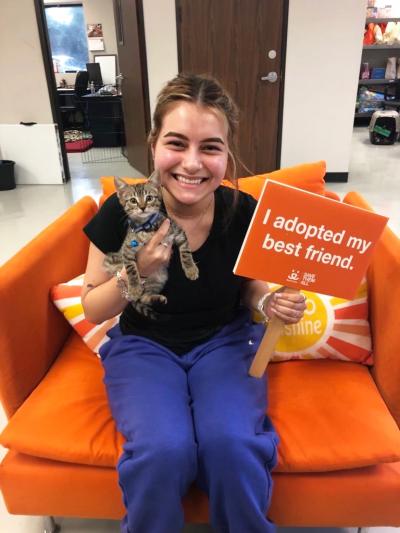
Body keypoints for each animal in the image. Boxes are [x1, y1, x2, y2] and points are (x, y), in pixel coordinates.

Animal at [101, 171, 198, 316]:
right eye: (133, 201)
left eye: (149, 198)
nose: (142, 207)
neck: (147, 227)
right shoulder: (127, 250)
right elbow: (131, 269)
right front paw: (134, 288)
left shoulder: (178, 232)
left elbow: (186, 251)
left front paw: (191, 269)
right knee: (141, 297)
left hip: (160, 279)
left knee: (145, 297)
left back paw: (157, 298)